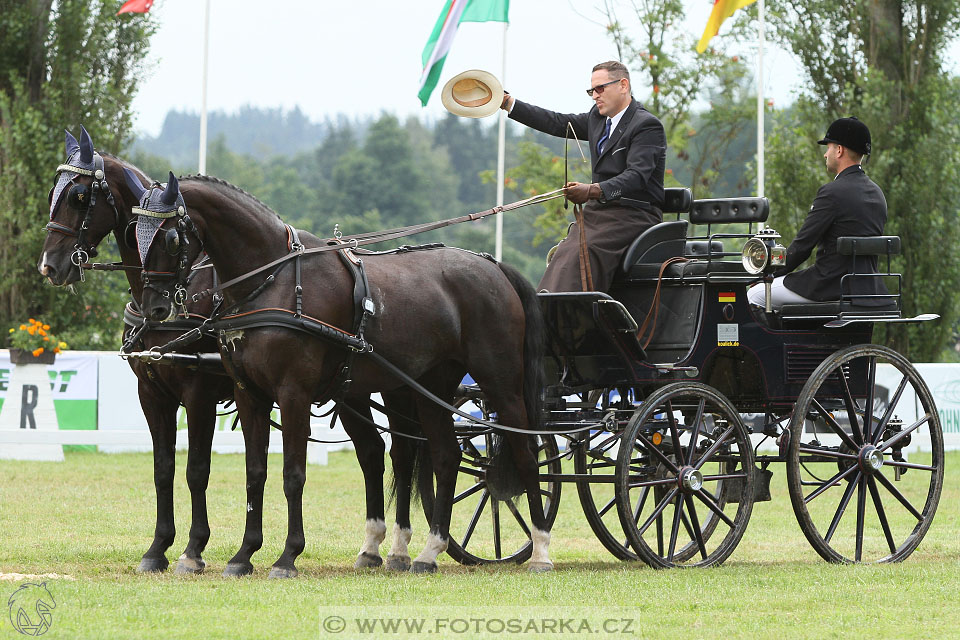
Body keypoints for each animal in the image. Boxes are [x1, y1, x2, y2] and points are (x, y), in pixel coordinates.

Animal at [35, 129, 418, 576]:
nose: (50, 266)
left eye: (79, 196)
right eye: (52, 192)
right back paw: (372, 548)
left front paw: (193, 549)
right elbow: (163, 469)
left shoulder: (198, 394)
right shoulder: (152, 395)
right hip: (350, 390)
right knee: (373, 452)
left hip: (394, 389)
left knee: (405, 453)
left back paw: (400, 549)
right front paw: (158, 548)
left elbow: (197, 470)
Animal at [135, 170, 556, 576]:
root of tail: (493, 265)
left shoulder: (292, 393)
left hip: (500, 383)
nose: (155, 307)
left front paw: (287, 556)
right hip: (429, 386)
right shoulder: (249, 393)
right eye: (133, 232)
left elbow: (293, 473)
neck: (273, 281)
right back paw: (428, 551)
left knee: (525, 452)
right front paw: (243, 555)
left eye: (170, 238)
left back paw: (540, 549)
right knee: (444, 456)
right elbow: (255, 472)